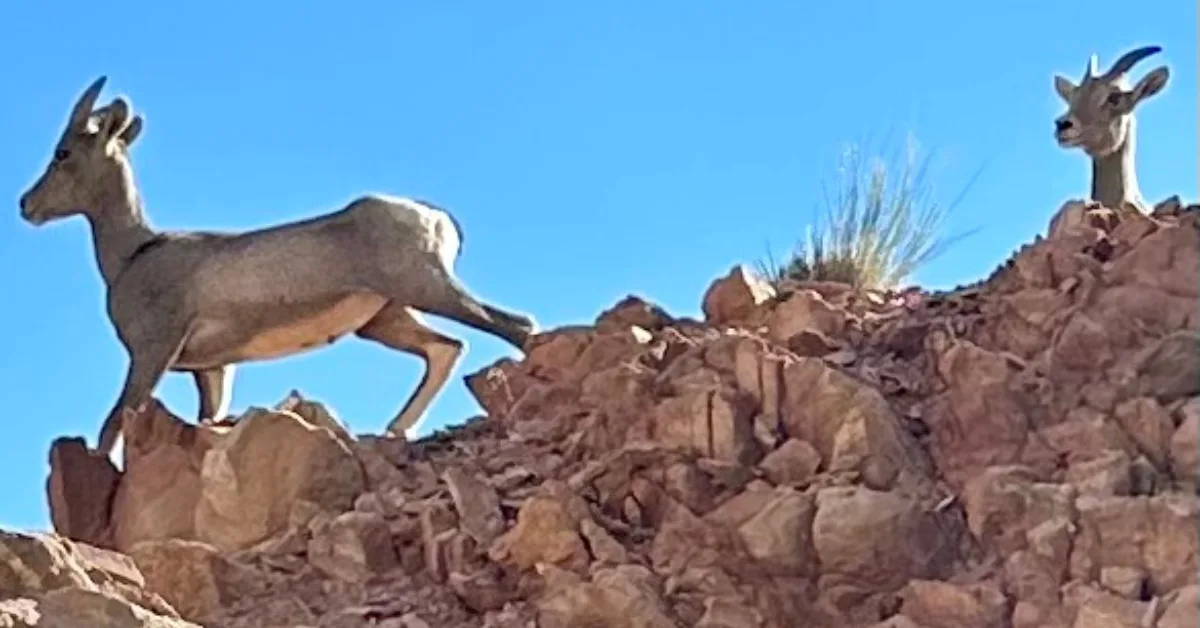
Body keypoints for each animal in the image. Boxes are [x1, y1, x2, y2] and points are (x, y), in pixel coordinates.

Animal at [18, 76, 537, 458]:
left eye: (63, 153)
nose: (26, 205)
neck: (133, 255)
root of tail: (435, 218)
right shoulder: (212, 369)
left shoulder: (152, 353)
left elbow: (113, 428)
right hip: (385, 319)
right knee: (446, 348)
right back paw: (396, 428)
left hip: (427, 288)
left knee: (515, 327)